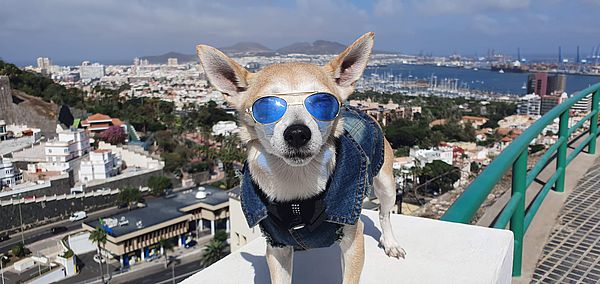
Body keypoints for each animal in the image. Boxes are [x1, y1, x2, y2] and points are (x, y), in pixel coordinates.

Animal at [197, 32, 408, 282]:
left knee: (385, 214)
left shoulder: (352, 239)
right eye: (266, 107)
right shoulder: (276, 248)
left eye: (323, 103)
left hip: (385, 183)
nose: (297, 133)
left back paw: (391, 243)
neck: (297, 181)